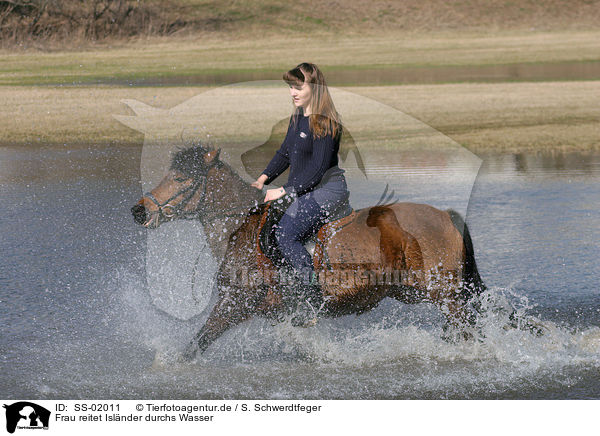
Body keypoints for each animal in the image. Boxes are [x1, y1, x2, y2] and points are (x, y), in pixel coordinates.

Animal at [129, 145, 486, 360]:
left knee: (468, 330)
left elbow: (197, 343)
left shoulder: (236, 304)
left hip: (445, 295)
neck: (241, 227)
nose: (140, 210)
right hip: (415, 292)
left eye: (181, 178)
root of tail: (446, 216)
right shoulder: (275, 312)